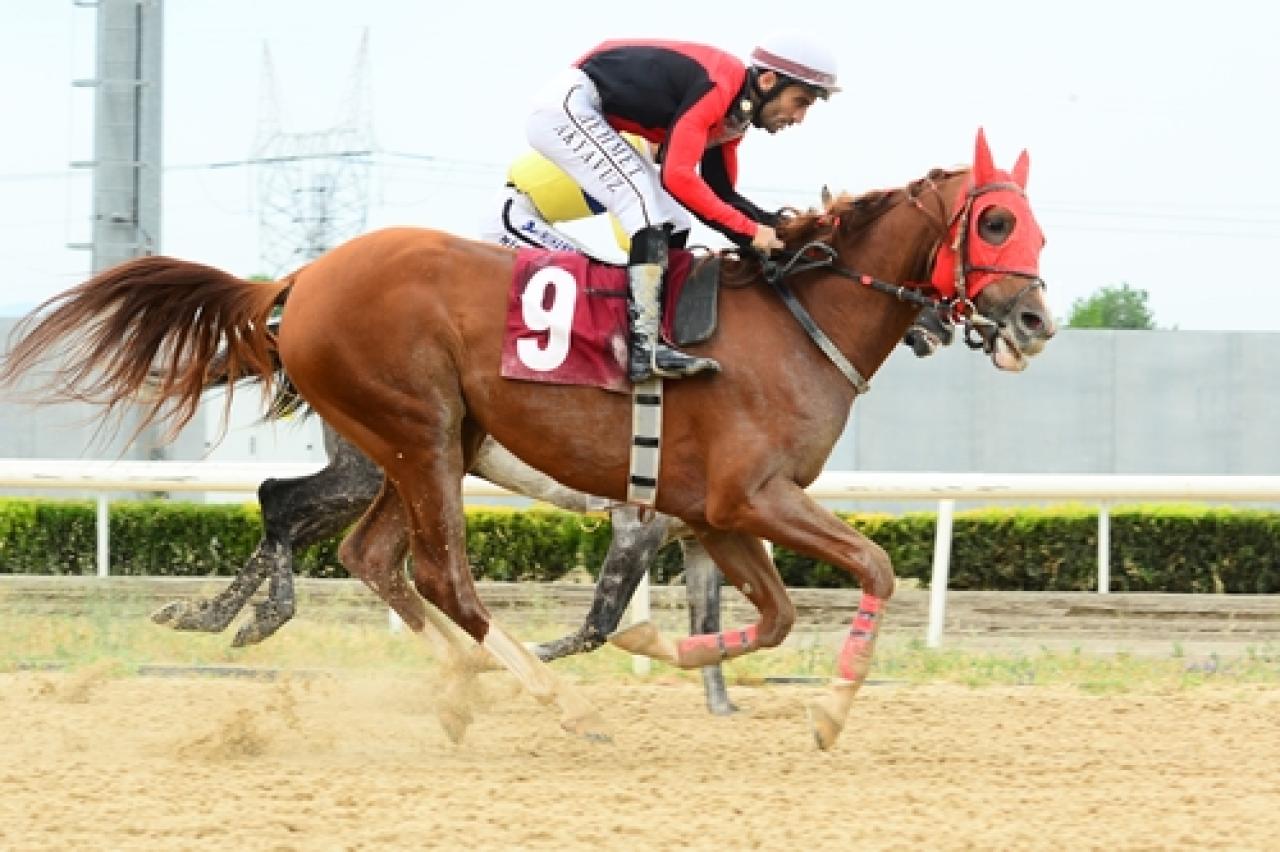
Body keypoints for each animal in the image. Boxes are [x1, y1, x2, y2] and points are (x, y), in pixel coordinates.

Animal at [0, 129, 1054, 747]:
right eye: (997, 220)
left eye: (1032, 225)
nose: (1035, 321)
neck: (793, 321)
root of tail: (301, 277)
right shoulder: (738, 500)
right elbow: (871, 567)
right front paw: (829, 712)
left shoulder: (714, 516)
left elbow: (770, 617)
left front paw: (677, 660)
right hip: (417, 434)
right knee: (428, 571)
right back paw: (539, 697)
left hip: (419, 447)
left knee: (366, 551)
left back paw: (438, 677)